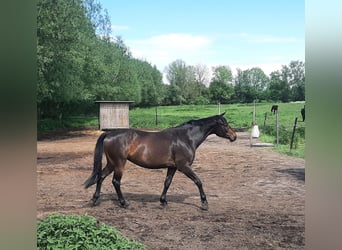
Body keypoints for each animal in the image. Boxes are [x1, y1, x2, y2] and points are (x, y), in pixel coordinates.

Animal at [84, 112, 236, 210]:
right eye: (224, 124)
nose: (234, 136)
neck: (185, 138)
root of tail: (109, 133)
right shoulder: (184, 166)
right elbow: (198, 181)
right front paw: (204, 203)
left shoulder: (172, 167)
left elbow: (167, 183)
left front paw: (163, 202)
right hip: (119, 163)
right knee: (115, 181)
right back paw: (124, 203)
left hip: (112, 163)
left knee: (100, 177)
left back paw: (94, 200)